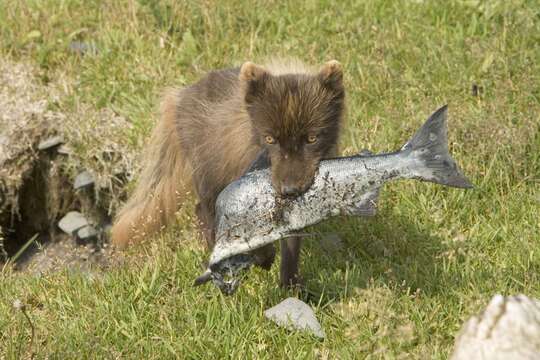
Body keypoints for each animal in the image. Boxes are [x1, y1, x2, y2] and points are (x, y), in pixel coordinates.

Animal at [110, 57, 346, 286]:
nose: (289, 190)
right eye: (270, 138)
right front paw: (262, 258)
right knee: (204, 212)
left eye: (312, 138)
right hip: (208, 179)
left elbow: (290, 244)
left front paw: (291, 285)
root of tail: (181, 96)